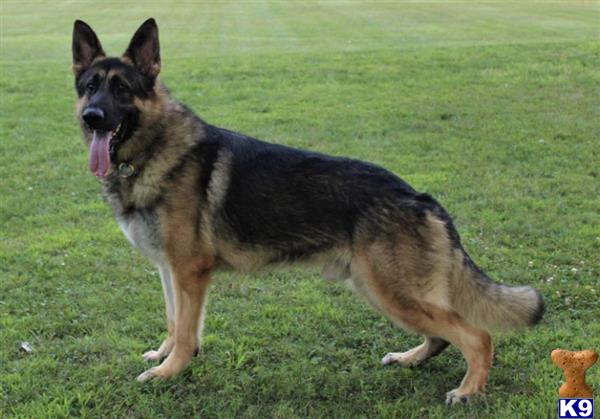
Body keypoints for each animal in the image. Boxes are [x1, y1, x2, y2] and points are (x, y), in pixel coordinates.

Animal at [71, 18, 544, 404]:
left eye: (122, 89)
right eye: (90, 86)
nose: (92, 117)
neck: (153, 149)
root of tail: (420, 197)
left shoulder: (190, 272)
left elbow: (187, 331)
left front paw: (170, 371)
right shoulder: (169, 271)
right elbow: (174, 322)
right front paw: (165, 355)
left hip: (391, 292)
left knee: (477, 335)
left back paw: (468, 391)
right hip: (381, 290)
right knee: (444, 336)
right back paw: (411, 359)